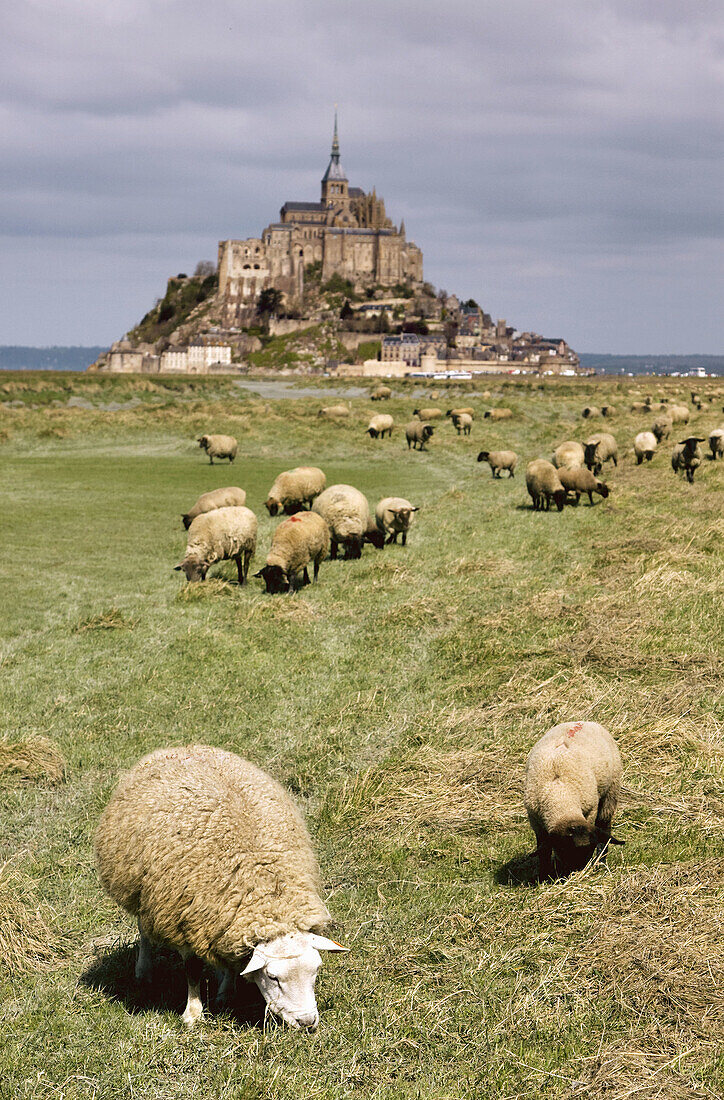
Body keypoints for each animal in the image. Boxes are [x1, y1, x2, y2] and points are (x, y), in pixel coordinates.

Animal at [94, 743, 345, 1025]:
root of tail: (184, 746)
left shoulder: (224, 917)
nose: (307, 1023)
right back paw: (143, 971)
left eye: (316, 969)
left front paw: (225, 993)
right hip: (142, 889)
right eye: (273, 977)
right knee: (143, 928)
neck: (263, 888)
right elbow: (192, 970)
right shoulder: (183, 918)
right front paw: (192, 1014)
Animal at [521, 721, 624, 875]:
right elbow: (543, 850)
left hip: (611, 790)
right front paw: (544, 874)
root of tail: (585, 722)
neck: (561, 795)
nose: (577, 873)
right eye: (563, 849)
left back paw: (601, 862)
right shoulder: (535, 821)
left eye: (589, 849)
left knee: (604, 826)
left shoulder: (590, 811)